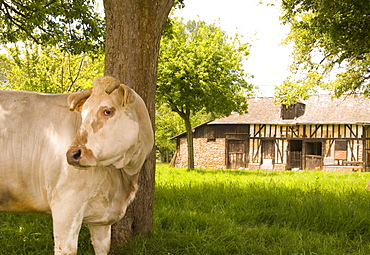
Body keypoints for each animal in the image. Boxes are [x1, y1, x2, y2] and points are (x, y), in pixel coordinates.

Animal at [0, 76, 154, 255]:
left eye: (107, 111)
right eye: (83, 115)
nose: (72, 154)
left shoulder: (102, 219)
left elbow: (102, 247)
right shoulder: (66, 206)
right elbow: (67, 249)